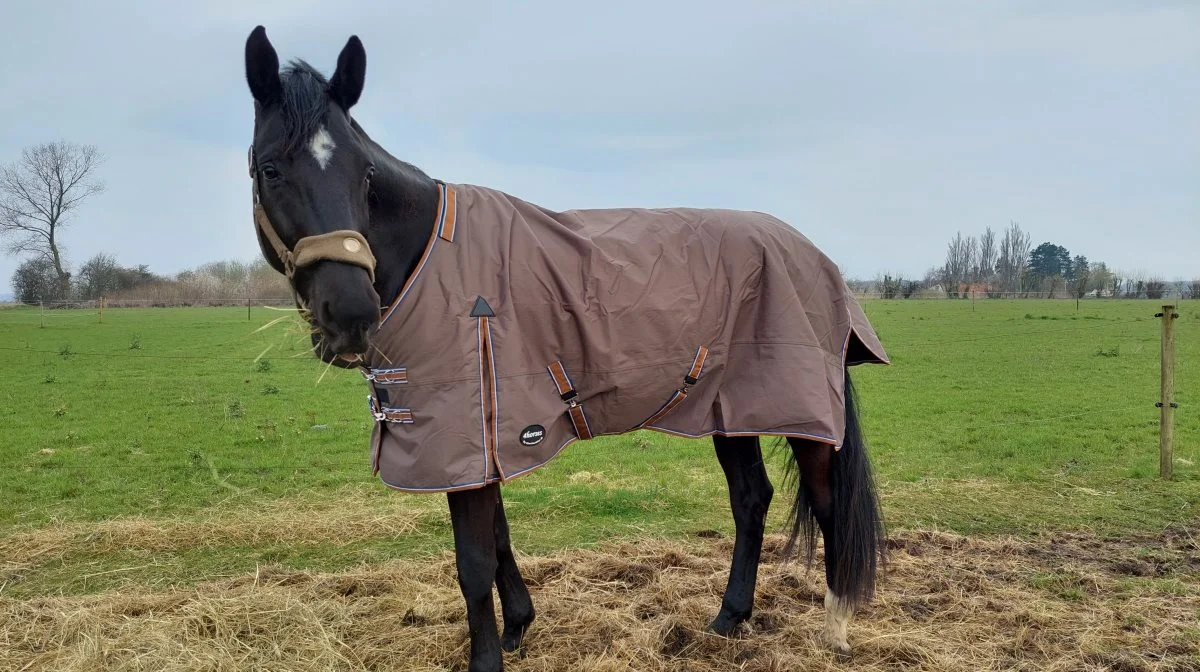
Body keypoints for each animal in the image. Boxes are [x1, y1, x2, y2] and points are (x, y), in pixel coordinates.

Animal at [241, 23, 892, 667]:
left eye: (365, 176)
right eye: (270, 169)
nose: (350, 315)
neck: (433, 253)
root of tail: (815, 256)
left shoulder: (467, 434)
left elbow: (472, 562)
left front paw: (488, 657)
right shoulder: (485, 438)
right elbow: (498, 539)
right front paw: (517, 627)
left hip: (801, 411)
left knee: (828, 504)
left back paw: (835, 628)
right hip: (730, 408)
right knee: (751, 499)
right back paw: (729, 618)